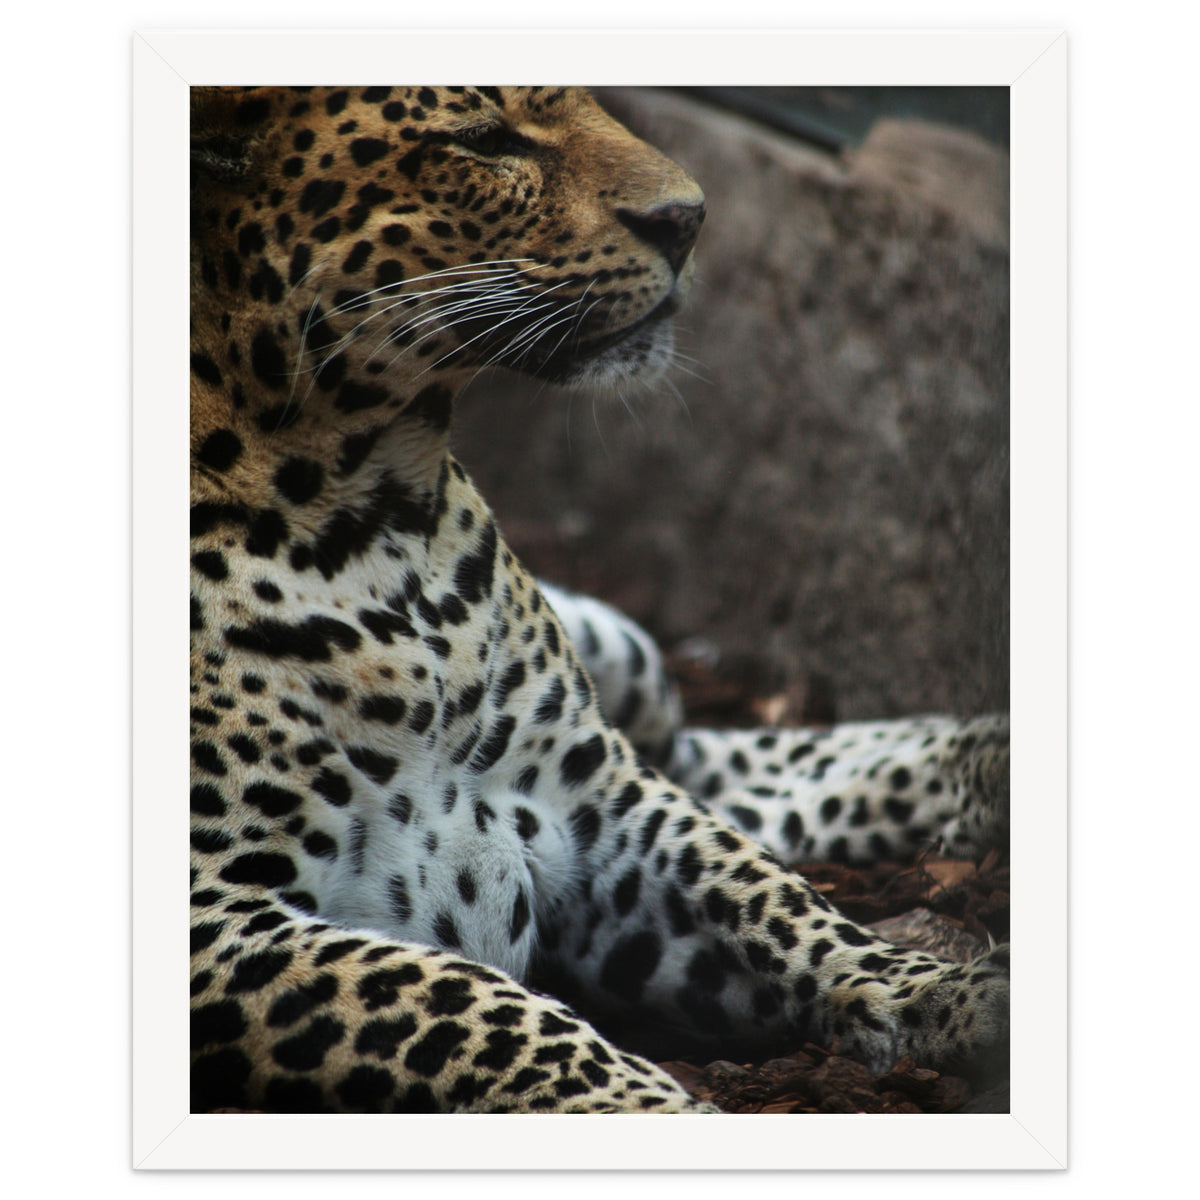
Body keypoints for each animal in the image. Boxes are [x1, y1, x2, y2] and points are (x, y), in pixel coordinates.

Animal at [190, 84, 1009, 1114]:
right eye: (483, 138)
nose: (689, 219)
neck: (377, 517)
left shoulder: (597, 803)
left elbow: (771, 897)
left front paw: (948, 991)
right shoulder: (216, 918)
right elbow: (468, 1000)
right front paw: (661, 1109)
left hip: (629, 666)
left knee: (713, 764)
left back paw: (989, 760)